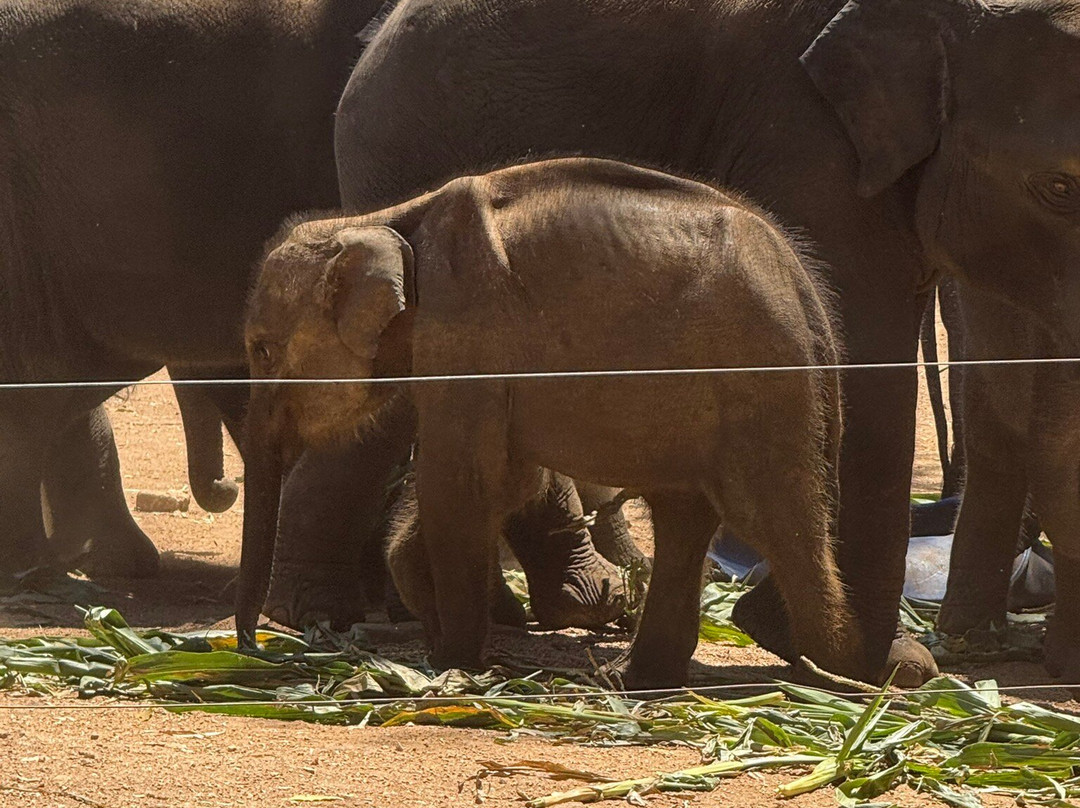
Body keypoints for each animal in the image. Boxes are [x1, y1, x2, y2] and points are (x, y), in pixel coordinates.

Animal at [237, 157, 862, 687]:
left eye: (262, 350)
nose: (249, 647)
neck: (381, 222)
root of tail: (807, 288)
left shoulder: (467, 331)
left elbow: (460, 484)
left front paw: (452, 666)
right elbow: (502, 482)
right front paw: (445, 646)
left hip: (761, 385)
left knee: (776, 519)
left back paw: (835, 682)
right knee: (685, 515)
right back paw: (636, 681)